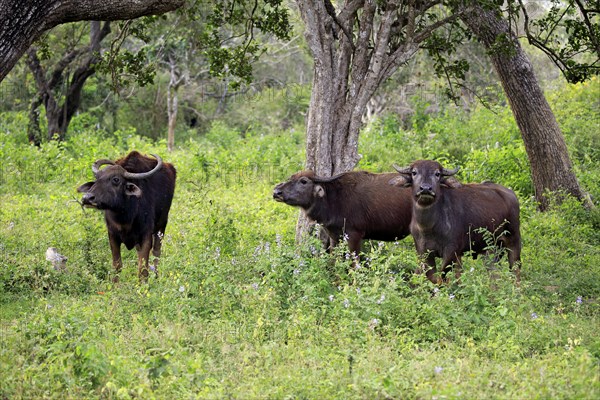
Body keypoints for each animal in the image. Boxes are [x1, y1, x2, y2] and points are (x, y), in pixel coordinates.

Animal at [76, 151, 177, 282]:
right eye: (97, 178)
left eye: (116, 179)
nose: (87, 198)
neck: (125, 217)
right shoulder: (112, 236)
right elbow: (117, 265)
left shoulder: (146, 236)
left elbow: (143, 269)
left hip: (162, 224)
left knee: (156, 252)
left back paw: (156, 276)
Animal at [274, 170, 414, 255]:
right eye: (290, 178)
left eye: (303, 181)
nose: (276, 192)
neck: (333, 201)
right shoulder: (335, 236)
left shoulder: (354, 235)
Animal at [390, 159, 520, 284]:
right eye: (414, 172)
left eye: (437, 174)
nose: (426, 189)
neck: (429, 227)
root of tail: (511, 194)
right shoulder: (423, 251)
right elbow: (433, 276)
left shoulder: (451, 251)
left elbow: (442, 275)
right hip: (491, 250)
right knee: (494, 273)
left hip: (513, 241)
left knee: (515, 269)